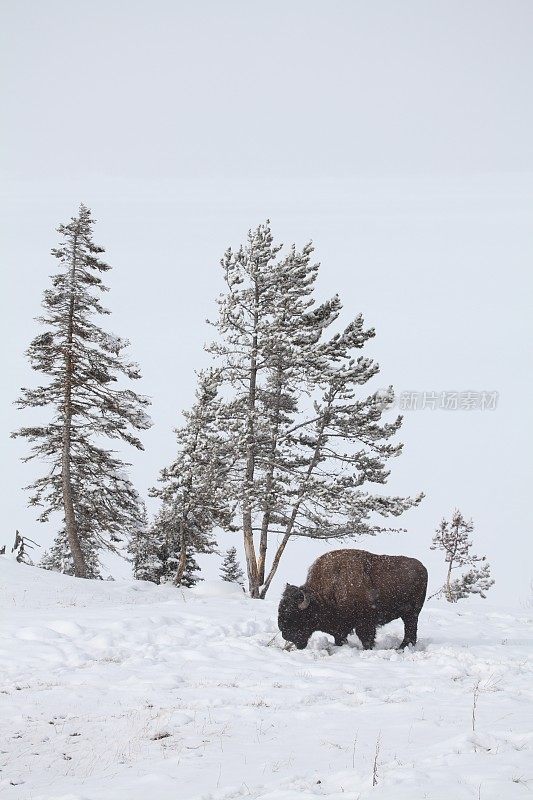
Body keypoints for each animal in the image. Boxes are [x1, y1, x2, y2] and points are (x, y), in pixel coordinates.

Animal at [276, 552, 426, 648]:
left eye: (294, 614)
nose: (285, 635)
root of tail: (422, 568)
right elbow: (340, 638)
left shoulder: (365, 623)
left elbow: (366, 638)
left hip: (411, 613)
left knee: (410, 628)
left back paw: (402, 647)